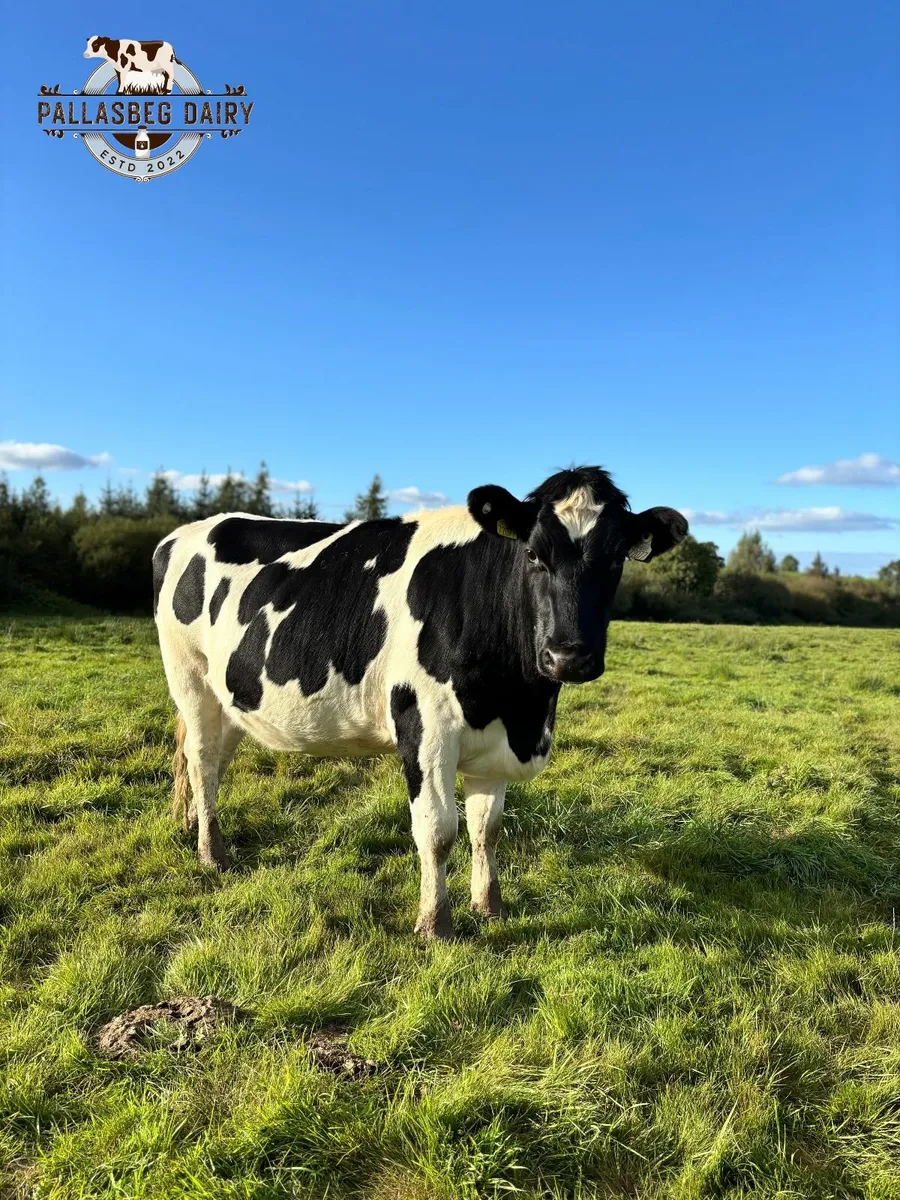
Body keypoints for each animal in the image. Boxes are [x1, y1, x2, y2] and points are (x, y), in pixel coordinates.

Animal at [153, 467, 687, 939]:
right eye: (534, 553)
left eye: (616, 559)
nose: (568, 656)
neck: (521, 706)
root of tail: (184, 531)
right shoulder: (425, 726)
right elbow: (438, 829)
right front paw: (435, 925)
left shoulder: (496, 744)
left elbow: (487, 828)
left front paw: (489, 906)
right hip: (190, 679)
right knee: (201, 760)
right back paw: (212, 853)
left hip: (230, 698)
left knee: (213, 764)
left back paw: (199, 826)